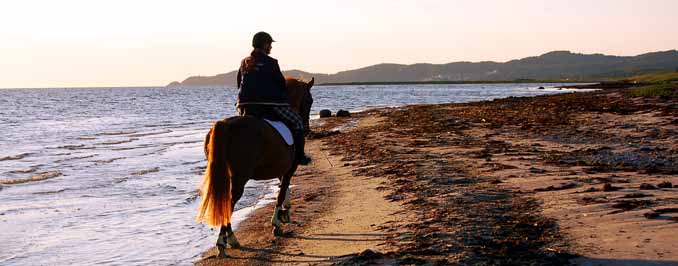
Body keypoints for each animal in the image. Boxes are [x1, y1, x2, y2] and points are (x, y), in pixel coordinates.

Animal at [197, 76, 314, 258]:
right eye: (309, 100)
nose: (307, 128)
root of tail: (225, 125)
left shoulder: (281, 168)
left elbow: (283, 188)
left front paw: (285, 212)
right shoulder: (289, 169)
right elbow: (281, 192)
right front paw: (277, 223)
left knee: (227, 201)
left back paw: (230, 239)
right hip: (240, 177)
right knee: (230, 202)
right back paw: (224, 242)